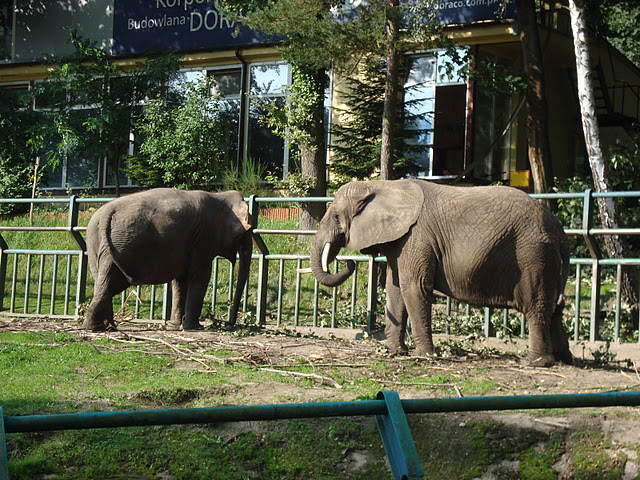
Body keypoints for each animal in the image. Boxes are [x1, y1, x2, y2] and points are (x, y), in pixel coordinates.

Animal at [83, 188, 253, 332]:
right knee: (111, 283)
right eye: (246, 233)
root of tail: (107, 212)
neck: (220, 196)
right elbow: (200, 276)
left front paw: (175, 326)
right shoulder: (203, 237)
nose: (229, 323)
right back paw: (98, 327)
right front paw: (194, 328)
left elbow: (180, 280)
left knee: (103, 282)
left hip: (96, 242)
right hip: (124, 245)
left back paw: (104, 327)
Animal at [309, 179, 572, 367]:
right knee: (555, 306)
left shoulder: (417, 236)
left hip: (533, 254)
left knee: (536, 304)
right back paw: (563, 360)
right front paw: (393, 352)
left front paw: (424, 356)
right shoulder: (402, 239)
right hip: (544, 257)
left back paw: (535, 364)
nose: (349, 263)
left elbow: (413, 287)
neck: (383, 185)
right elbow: (395, 289)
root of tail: (559, 230)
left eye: (336, 217)